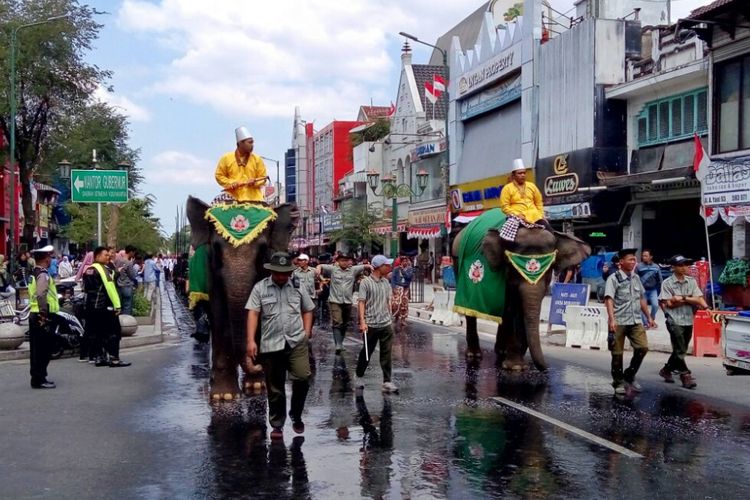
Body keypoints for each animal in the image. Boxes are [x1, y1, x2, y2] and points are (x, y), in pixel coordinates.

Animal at [452, 208, 592, 372]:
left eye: (551, 266)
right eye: (511, 266)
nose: (547, 368)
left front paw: (517, 361)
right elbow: (510, 309)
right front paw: (516, 366)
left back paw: (501, 351)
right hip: (457, 263)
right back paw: (474, 355)